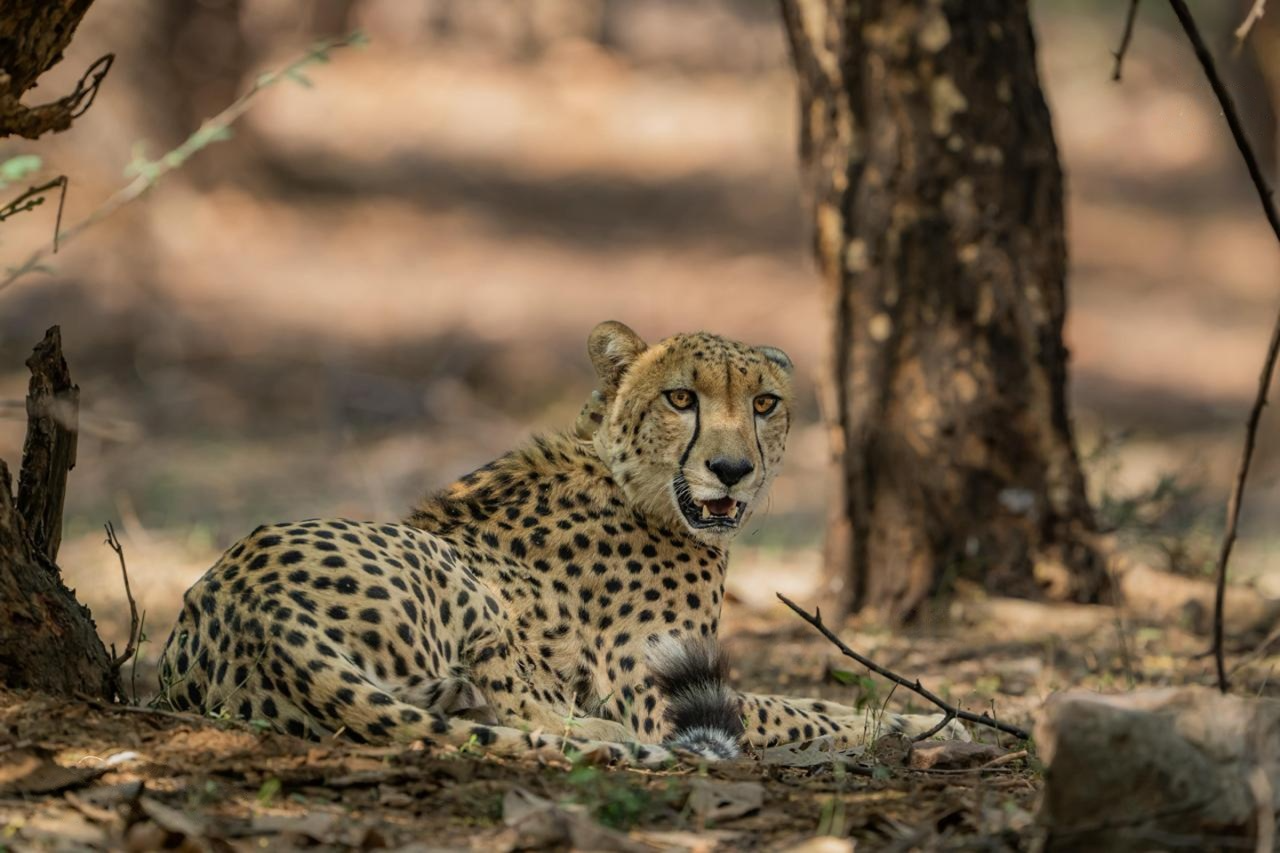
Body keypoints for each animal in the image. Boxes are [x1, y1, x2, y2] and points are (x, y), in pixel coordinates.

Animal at [157, 321, 965, 767]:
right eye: (682, 398)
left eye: (765, 403)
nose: (732, 469)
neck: (627, 476)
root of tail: (246, 604)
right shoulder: (652, 692)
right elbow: (794, 709)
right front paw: (915, 722)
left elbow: (806, 699)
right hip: (462, 585)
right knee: (535, 711)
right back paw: (611, 740)